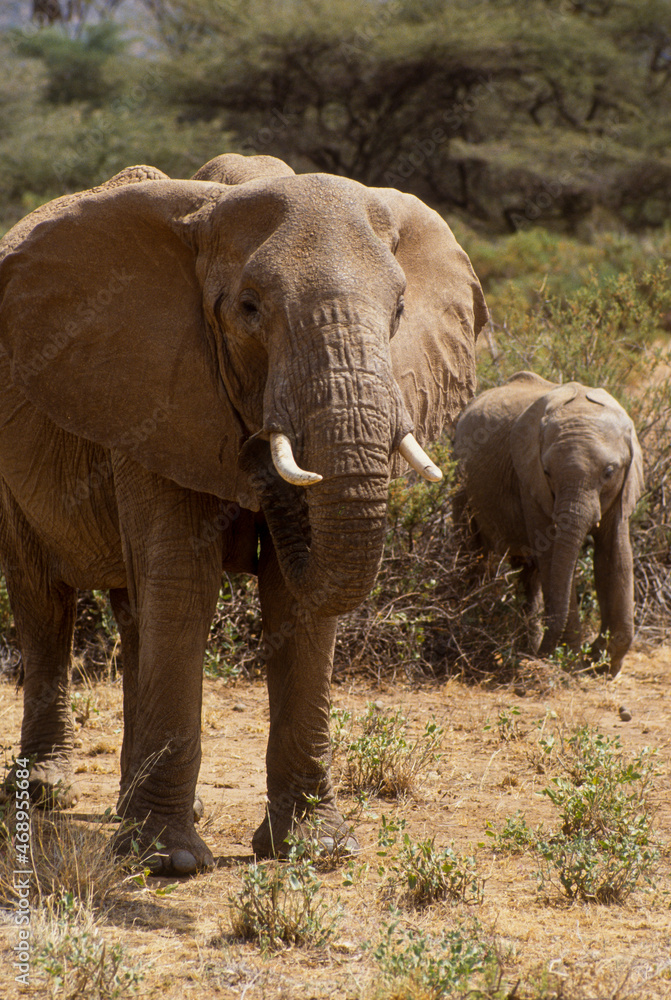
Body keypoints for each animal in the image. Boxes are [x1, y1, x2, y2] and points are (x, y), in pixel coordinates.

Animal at [0, 152, 488, 874]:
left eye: (399, 309)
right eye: (250, 309)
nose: (257, 450)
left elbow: (294, 601)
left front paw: (315, 850)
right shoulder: (152, 391)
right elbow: (185, 583)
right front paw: (168, 863)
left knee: (133, 611)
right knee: (45, 603)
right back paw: (46, 793)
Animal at [453, 371, 643, 675]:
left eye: (609, 472)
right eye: (547, 472)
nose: (538, 658)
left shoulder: (623, 488)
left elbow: (614, 556)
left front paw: (601, 666)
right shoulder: (529, 481)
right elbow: (552, 554)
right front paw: (573, 660)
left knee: (527, 574)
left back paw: (525, 647)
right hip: (460, 482)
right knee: (473, 553)